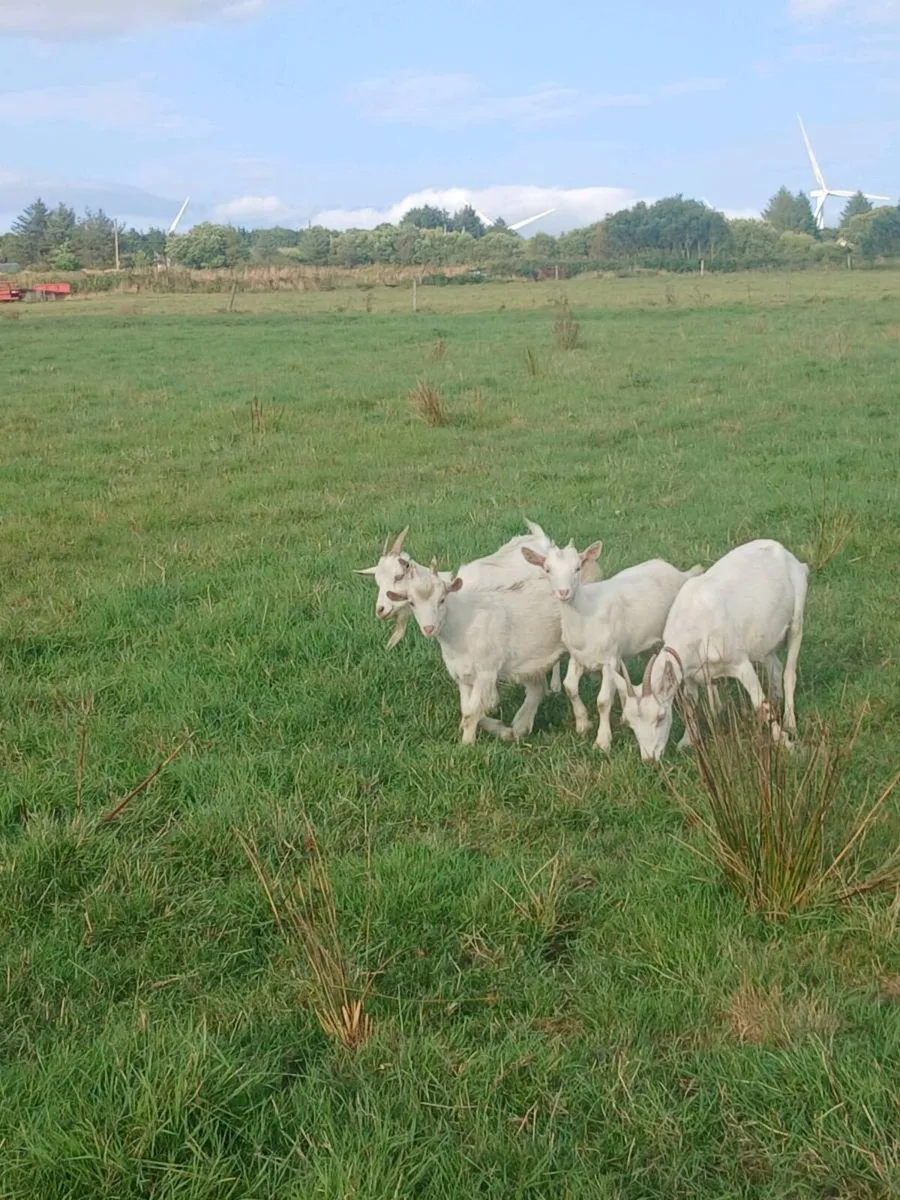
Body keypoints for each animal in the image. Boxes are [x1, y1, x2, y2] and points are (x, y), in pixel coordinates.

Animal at [388, 565, 565, 744]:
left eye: (442, 599)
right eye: (412, 603)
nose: (429, 628)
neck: (462, 626)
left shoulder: (486, 672)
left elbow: (471, 713)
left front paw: (466, 744)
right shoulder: (463, 675)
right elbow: (467, 709)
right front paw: (503, 731)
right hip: (530, 660)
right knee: (537, 688)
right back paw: (520, 727)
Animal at [522, 540, 703, 751]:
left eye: (577, 568)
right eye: (548, 569)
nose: (564, 593)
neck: (586, 613)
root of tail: (681, 573)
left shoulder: (609, 660)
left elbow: (603, 700)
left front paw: (602, 741)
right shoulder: (578, 657)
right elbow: (570, 687)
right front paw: (583, 725)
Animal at [611, 538, 809, 761]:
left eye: (660, 717)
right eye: (629, 722)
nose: (649, 759)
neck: (696, 625)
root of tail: (784, 552)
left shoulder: (740, 663)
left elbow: (760, 703)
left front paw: (785, 743)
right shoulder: (690, 674)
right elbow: (690, 706)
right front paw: (686, 742)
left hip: (797, 619)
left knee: (789, 672)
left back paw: (790, 722)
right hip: (764, 640)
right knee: (774, 667)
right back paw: (777, 700)